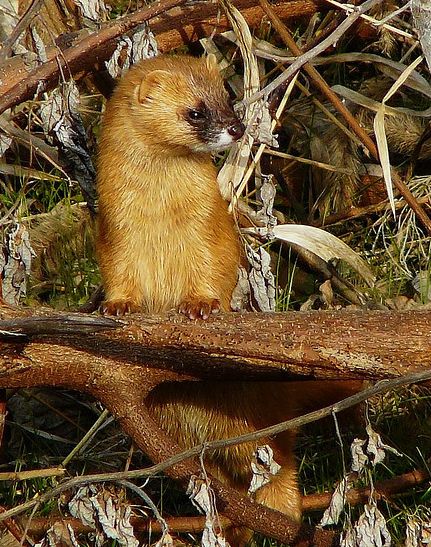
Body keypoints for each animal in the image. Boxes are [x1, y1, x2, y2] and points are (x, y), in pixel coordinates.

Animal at [97, 53, 362, 540]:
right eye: (195, 111)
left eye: (227, 97)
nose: (237, 128)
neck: (157, 217)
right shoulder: (114, 235)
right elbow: (120, 277)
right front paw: (117, 306)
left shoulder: (209, 228)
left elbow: (212, 269)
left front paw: (200, 305)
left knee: (279, 463)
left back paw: (285, 519)